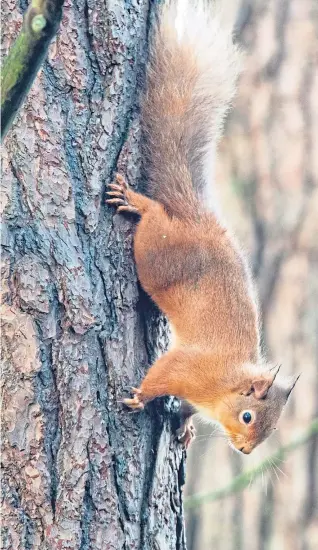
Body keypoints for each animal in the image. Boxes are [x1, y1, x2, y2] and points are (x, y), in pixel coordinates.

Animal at [106, 0, 298, 454]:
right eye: (247, 417)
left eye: (270, 431)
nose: (245, 450)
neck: (225, 383)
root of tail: (195, 218)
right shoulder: (187, 368)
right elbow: (160, 375)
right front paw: (139, 398)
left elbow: (186, 410)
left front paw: (185, 427)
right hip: (157, 256)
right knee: (155, 218)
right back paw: (137, 202)